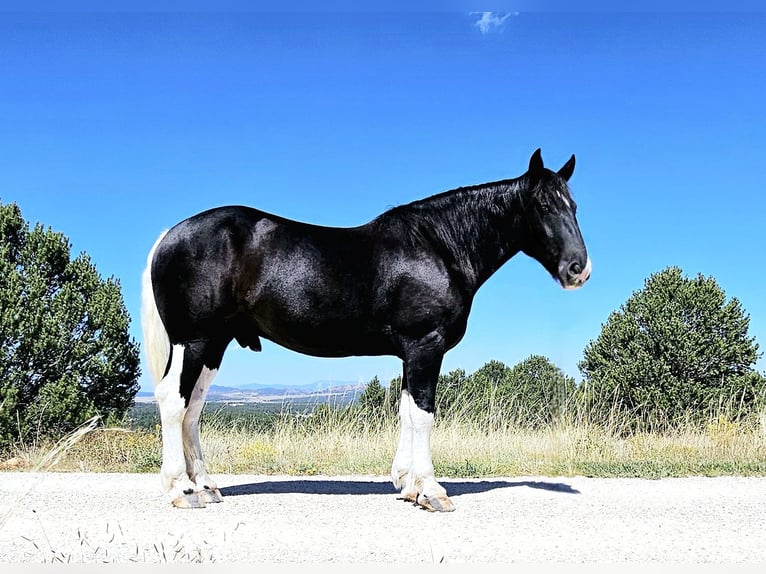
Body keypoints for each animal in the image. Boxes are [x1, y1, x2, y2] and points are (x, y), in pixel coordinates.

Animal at [140, 148, 592, 512]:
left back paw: (206, 486)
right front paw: (432, 491)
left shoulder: (412, 352)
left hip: (213, 344)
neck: (440, 247)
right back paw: (181, 490)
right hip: (194, 341)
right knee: (173, 402)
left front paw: (408, 485)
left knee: (193, 408)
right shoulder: (425, 346)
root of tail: (168, 237)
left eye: (574, 206)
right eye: (543, 206)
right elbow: (423, 415)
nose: (578, 270)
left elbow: (407, 411)